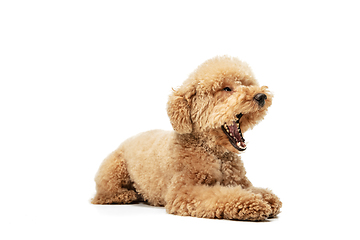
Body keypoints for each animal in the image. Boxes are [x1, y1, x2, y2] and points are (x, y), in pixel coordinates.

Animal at [92, 56, 282, 221]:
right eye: (226, 89)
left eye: (245, 83)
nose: (261, 96)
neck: (212, 151)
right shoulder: (184, 191)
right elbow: (220, 195)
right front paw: (253, 203)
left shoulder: (239, 182)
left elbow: (256, 190)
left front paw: (267, 198)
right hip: (114, 168)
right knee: (103, 194)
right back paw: (125, 195)